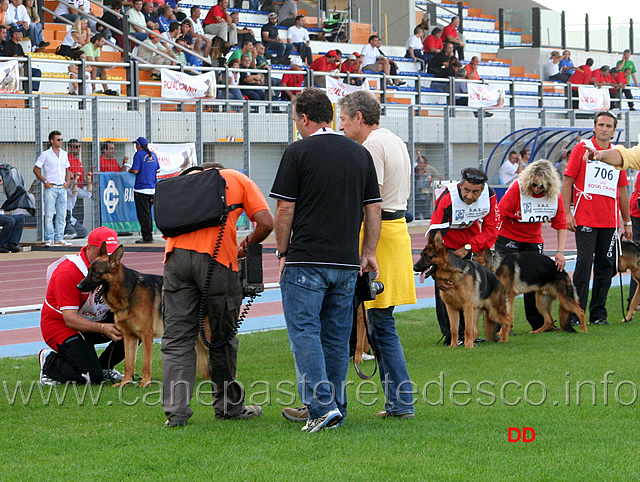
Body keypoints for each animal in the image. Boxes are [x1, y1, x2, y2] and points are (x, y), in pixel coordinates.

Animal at [76, 243, 209, 386]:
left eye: (96, 273)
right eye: (88, 271)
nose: (78, 286)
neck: (130, 291)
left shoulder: (146, 335)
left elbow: (146, 363)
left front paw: (144, 383)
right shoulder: (128, 336)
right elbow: (129, 364)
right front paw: (125, 382)